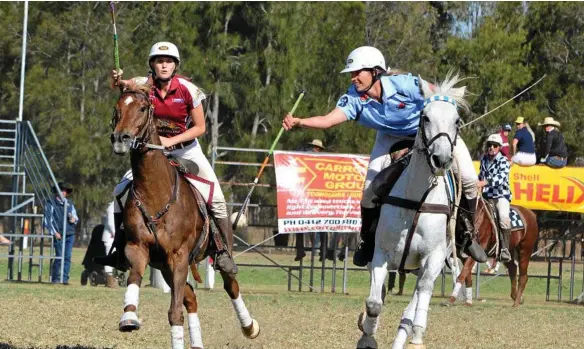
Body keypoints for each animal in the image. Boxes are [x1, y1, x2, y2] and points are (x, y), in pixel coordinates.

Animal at [111, 85, 260, 346]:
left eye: (142, 108)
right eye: (117, 108)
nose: (121, 139)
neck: (155, 193)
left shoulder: (178, 255)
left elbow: (174, 312)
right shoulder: (138, 248)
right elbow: (135, 278)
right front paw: (128, 317)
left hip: (215, 253)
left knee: (230, 285)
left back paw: (249, 326)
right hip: (165, 267)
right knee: (191, 298)